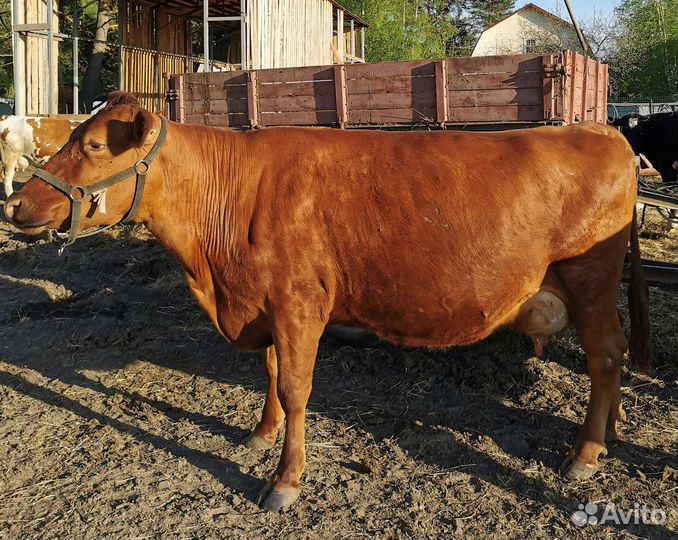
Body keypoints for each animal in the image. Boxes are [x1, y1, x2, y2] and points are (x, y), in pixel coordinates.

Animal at [4, 93, 650, 512]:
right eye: (69, 137)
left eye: (91, 144)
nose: (15, 205)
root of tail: (602, 130)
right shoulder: (264, 304)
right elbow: (269, 372)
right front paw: (261, 433)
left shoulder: (297, 303)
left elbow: (295, 387)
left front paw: (284, 481)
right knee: (612, 357)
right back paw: (609, 429)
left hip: (589, 280)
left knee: (605, 355)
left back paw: (585, 453)